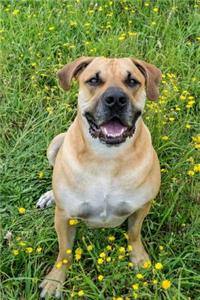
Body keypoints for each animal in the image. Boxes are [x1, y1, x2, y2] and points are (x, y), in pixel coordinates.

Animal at [37, 56, 162, 298]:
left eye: (132, 81)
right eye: (94, 80)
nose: (116, 99)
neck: (107, 159)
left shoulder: (142, 206)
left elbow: (134, 233)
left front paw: (138, 258)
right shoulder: (64, 216)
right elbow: (64, 252)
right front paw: (55, 281)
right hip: (55, 144)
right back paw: (49, 196)